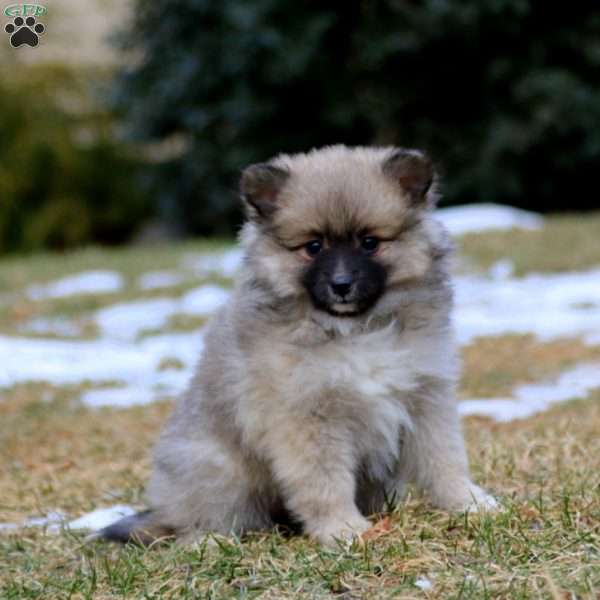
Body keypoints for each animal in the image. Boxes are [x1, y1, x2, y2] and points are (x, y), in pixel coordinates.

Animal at [101, 146, 494, 548]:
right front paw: (343, 529)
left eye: (369, 242)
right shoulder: (306, 417)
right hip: (220, 472)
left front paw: (468, 502)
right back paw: (209, 540)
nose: (341, 284)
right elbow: (325, 482)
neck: (354, 329)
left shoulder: (426, 398)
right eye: (313, 247)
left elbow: (444, 459)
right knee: (200, 519)